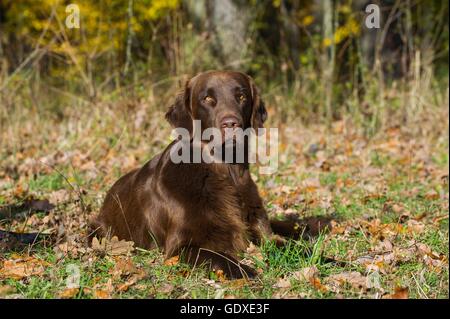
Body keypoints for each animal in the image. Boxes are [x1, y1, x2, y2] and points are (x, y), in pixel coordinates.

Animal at [89, 70, 302, 280]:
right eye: (207, 98)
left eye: (241, 96)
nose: (231, 123)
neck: (224, 172)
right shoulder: (180, 247)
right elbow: (219, 256)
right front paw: (245, 270)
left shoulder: (262, 229)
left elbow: (286, 244)